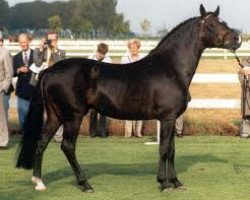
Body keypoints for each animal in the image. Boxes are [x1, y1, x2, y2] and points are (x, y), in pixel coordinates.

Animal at [16, 4, 241, 192]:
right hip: (73, 116)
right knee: (67, 146)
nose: (236, 39)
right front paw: (164, 183)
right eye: (211, 24)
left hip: (55, 115)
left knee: (42, 142)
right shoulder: (167, 117)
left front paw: (176, 182)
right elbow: (164, 149)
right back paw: (85, 184)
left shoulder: (172, 118)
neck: (170, 68)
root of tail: (49, 70)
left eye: (223, 22)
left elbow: (172, 149)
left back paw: (39, 182)